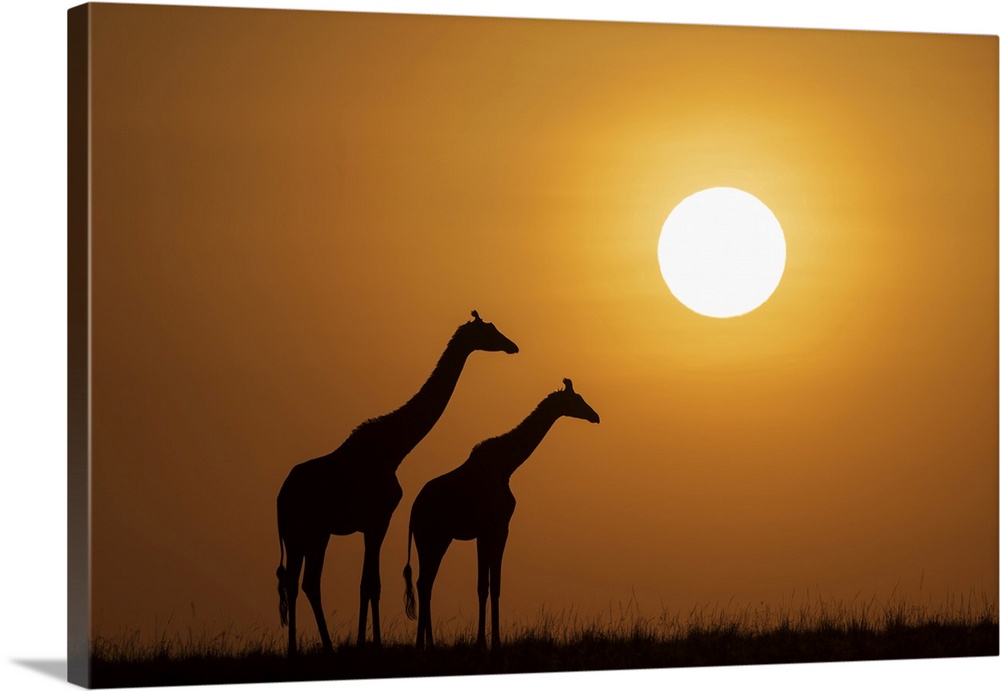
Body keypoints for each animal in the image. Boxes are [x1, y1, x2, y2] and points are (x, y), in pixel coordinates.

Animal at [275, 311, 518, 656]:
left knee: (294, 582)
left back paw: (296, 649)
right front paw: (371, 645)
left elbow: (368, 584)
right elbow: (371, 584)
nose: (512, 346)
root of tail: (280, 498)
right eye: (489, 330)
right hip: (315, 531)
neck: (395, 448)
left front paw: (366, 642)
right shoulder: (378, 519)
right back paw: (328, 648)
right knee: (309, 581)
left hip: (298, 534)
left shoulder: (373, 523)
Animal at [402, 378, 600, 650]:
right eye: (577, 399)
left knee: (425, 583)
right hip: (432, 537)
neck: (508, 466)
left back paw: (425, 644)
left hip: (435, 538)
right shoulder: (496, 527)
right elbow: (489, 585)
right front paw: (490, 643)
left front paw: (486, 642)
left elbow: (487, 586)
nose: (595, 416)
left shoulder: (487, 531)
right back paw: (425, 645)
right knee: (425, 582)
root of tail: (413, 511)